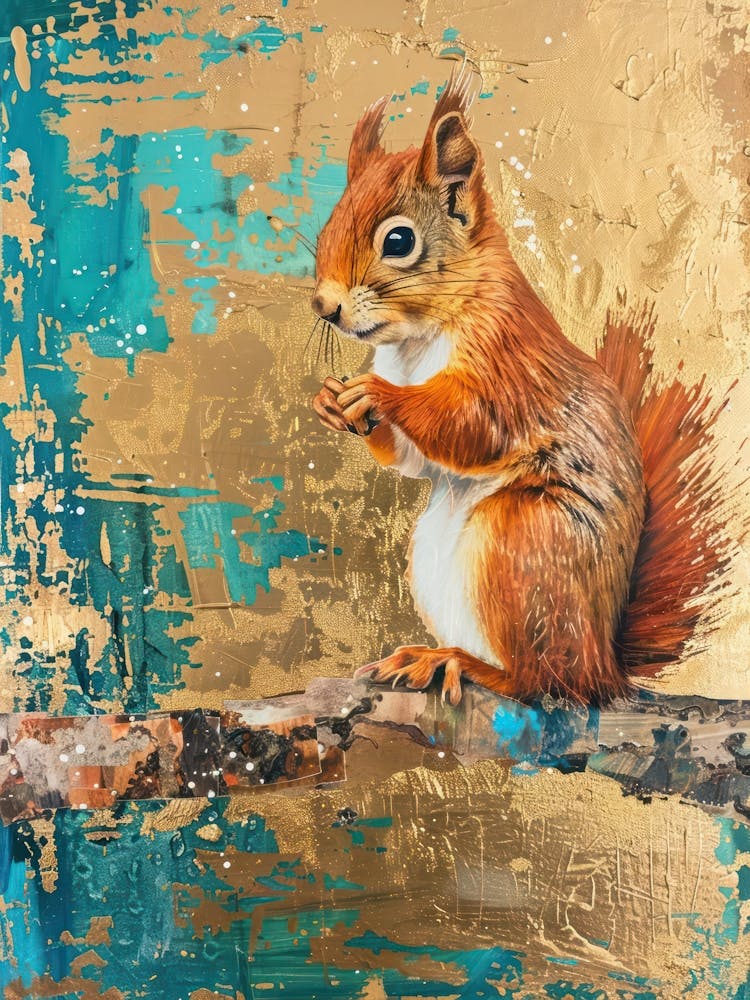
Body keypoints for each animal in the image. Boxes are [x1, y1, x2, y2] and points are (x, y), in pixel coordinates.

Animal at [310, 67, 738, 706]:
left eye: (398, 241)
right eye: (324, 229)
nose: (325, 305)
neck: (417, 338)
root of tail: (604, 665)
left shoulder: (508, 363)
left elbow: (475, 427)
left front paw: (383, 398)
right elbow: (414, 462)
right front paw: (329, 401)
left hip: (522, 541)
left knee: (542, 680)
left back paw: (465, 666)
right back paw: (428, 654)